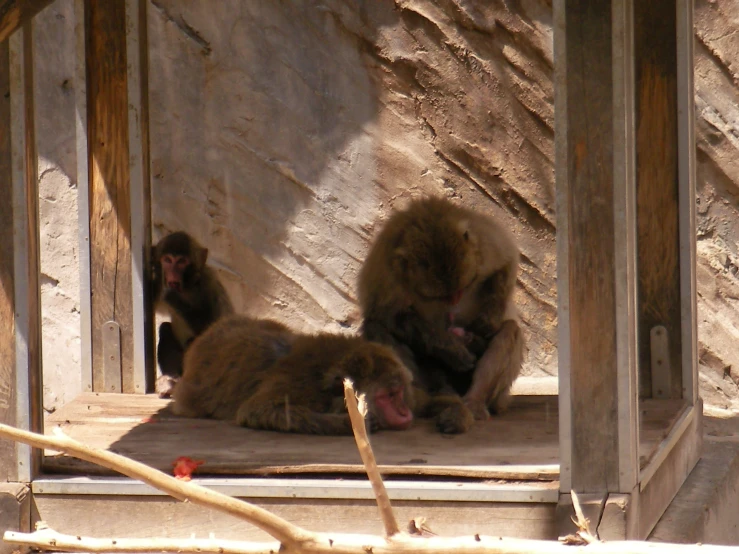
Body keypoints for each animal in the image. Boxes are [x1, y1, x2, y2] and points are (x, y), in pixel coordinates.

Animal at [149, 231, 233, 394]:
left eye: (182, 261)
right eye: (167, 260)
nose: (172, 274)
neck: (187, 287)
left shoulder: (208, 284)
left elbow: (214, 328)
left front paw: (172, 295)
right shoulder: (158, 285)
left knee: (195, 340)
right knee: (165, 328)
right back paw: (172, 380)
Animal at [171, 312, 420, 434]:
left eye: (399, 392)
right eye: (389, 396)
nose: (405, 411)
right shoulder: (299, 385)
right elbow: (257, 410)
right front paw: (347, 423)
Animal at [358, 196, 528, 430]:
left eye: (462, 289)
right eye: (443, 296)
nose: (454, 301)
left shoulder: (483, 242)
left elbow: (506, 262)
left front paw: (487, 322)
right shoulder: (385, 269)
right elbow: (386, 314)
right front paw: (450, 349)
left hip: (494, 395)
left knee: (510, 330)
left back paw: (474, 401)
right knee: (375, 327)